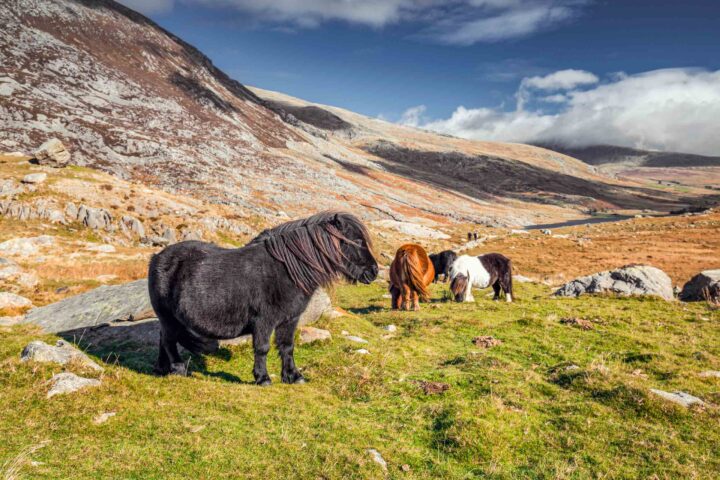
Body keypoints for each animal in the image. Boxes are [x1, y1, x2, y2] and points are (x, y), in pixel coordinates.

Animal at [148, 211, 378, 385]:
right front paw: (263, 378)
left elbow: (287, 346)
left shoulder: (290, 319)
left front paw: (293, 376)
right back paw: (177, 369)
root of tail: (158, 257)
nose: (373, 272)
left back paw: (161, 369)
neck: (286, 270)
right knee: (168, 339)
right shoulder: (264, 321)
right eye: (356, 241)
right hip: (168, 317)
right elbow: (262, 348)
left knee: (162, 338)